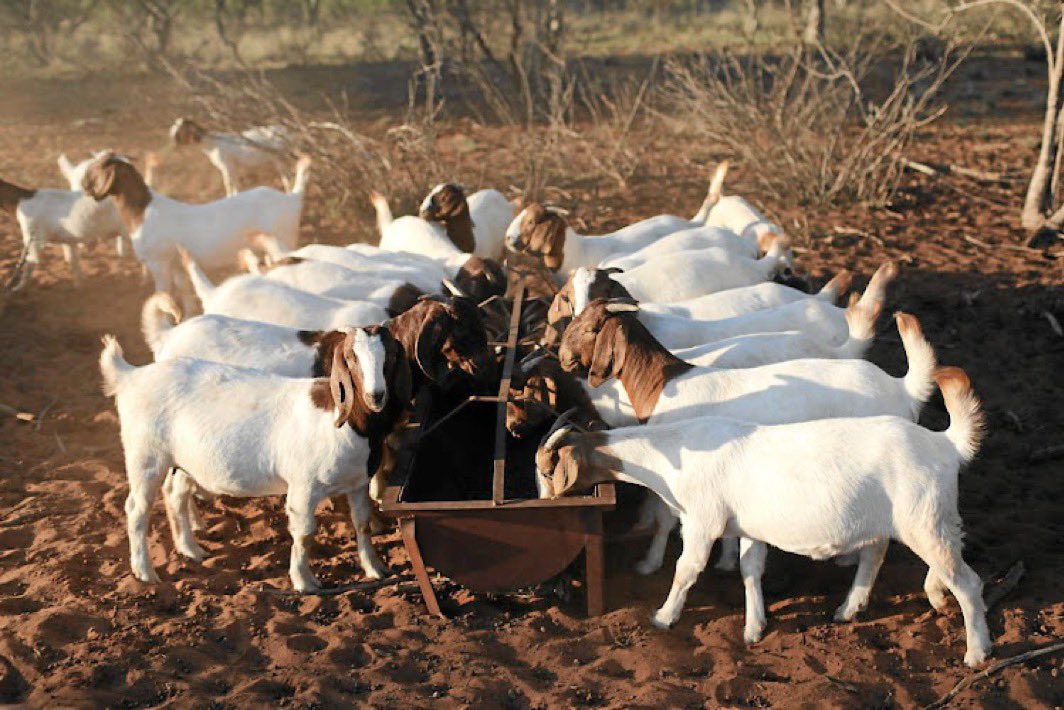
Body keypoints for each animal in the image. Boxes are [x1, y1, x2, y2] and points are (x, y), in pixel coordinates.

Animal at [81, 152, 311, 294]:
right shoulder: (175, 264)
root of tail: (291, 198)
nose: (84, 185)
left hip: (284, 241)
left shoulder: (158, 263)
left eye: (97, 168)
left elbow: (164, 295)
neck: (142, 211)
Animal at [100, 325, 412, 591]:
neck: (342, 419)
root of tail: (131, 377)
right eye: (351, 357)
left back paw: (191, 550)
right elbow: (305, 534)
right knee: (136, 510)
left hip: (183, 460)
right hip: (145, 456)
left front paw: (375, 568)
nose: (376, 395)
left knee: (174, 495)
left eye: (391, 355)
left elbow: (362, 523)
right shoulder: (303, 487)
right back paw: (145, 572)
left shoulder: (357, 483)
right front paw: (304, 582)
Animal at [535, 366, 992, 667]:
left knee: (968, 582)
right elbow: (749, 569)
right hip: (908, 520)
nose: (545, 504)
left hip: (924, 521)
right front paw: (754, 628)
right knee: (878, 555)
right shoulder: (748, 526)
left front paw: (664, 617)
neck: (674, 452)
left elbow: (687, 569)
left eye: (547, 470)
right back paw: (854, 607)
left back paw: (976, 652)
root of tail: (945, 444)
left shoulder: (702, 521)